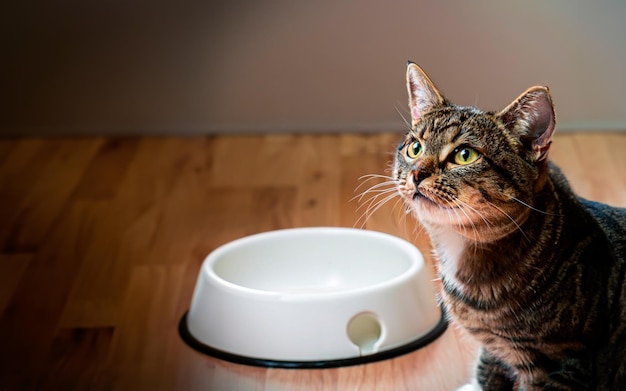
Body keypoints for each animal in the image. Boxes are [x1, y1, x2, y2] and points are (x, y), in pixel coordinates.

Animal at [392, 62, 624, 390]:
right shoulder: (494, 350)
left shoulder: (563, 362)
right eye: (414, 148)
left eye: (464, 155)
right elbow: (486, 371)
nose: (416, 174)